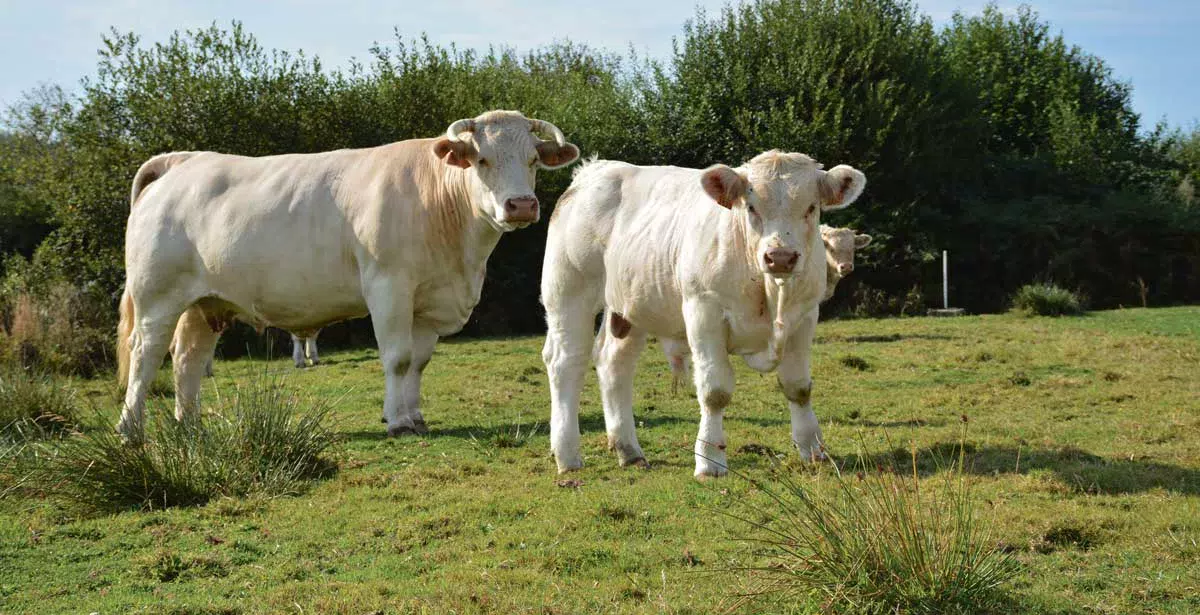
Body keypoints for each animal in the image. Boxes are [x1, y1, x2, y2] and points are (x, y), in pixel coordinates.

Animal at [118, 110, 580, 442]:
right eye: (482, 160)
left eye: (533, 160)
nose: (521, 205)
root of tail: (183, 160)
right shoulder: (389, 287)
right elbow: (397, 358)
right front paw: (397, 422)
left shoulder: (429, 302)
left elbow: (419, 362)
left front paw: (415, 417)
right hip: (157, 296)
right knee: (146, 354)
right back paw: (131, 430)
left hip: (205, 303)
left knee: (188, 358)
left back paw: (190, 426)